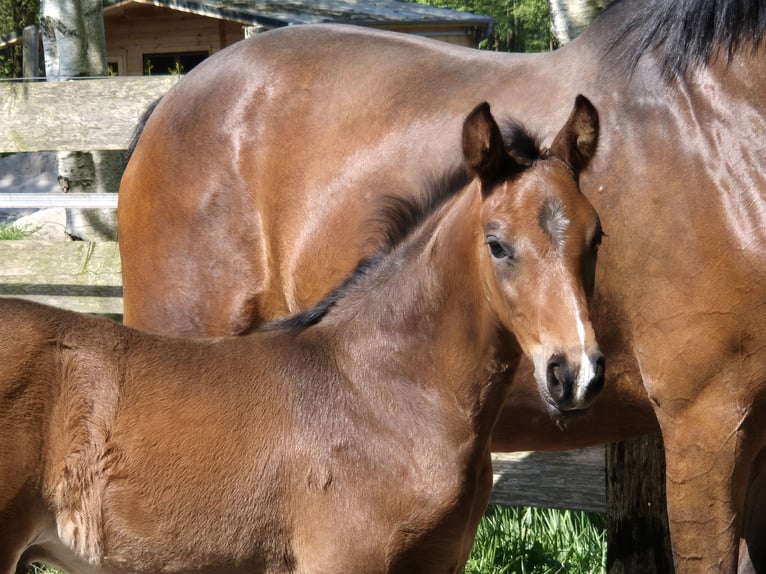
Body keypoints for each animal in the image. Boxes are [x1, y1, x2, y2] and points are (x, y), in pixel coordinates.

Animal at [115, 2, 766, 572]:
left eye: (600, 236)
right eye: (497, 245)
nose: (576, 374)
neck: (717, 130)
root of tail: (169, 101)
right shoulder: (703, 417)